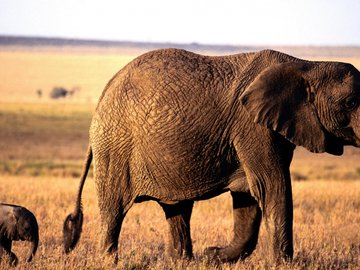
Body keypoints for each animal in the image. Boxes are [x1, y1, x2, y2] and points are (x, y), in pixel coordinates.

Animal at [63, 48, 360, 264]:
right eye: (350, 103)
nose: (211, 249)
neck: (306, 65)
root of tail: (104, 94)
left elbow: (248, 196)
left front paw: (213, 255)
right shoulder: (252, 126)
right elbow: (271, 186)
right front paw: (282, 265)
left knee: (177, 209)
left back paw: (183, 261)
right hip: (115, 148)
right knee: (114, 209)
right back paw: (110, 261)